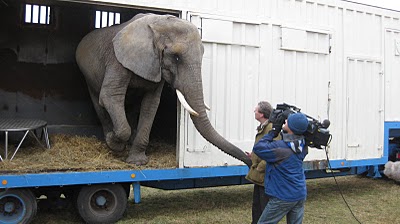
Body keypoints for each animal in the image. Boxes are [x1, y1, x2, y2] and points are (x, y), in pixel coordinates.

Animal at [75, 12, 250, 166]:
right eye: (176, 57)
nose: (249, 160)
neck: (156, 24)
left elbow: (151, 104)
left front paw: (137, 162)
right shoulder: (116, 58)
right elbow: (110, 95)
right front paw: (114, 142)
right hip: (87, 74)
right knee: (100, 103)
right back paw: (111, 141)